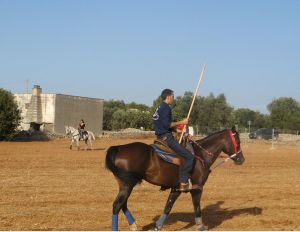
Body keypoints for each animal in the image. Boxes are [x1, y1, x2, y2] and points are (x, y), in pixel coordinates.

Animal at [105, 127, 244, 230]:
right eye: (238, 141)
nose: (241, 159)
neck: (200, 155)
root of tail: (119, 148)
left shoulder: (176, 189)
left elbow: (168, 206)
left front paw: (158, 226)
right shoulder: (197, 188)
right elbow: (197, 208)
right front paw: (201, 227)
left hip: (125, 184)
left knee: (123, 204)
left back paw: (134, 225)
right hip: (128, 185)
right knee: (117, 205)